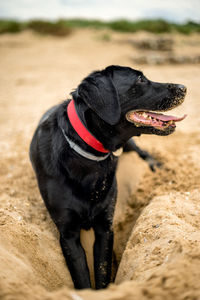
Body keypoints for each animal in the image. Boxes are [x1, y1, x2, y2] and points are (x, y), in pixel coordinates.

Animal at [28, 65, 187, 288]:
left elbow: (102, 271)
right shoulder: (68, 234)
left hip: (132, 146)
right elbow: (82, 276)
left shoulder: (105, 227)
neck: (87, 155)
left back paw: (159, 168)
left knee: (143, 153)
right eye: (140, 79)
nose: (184, 88)